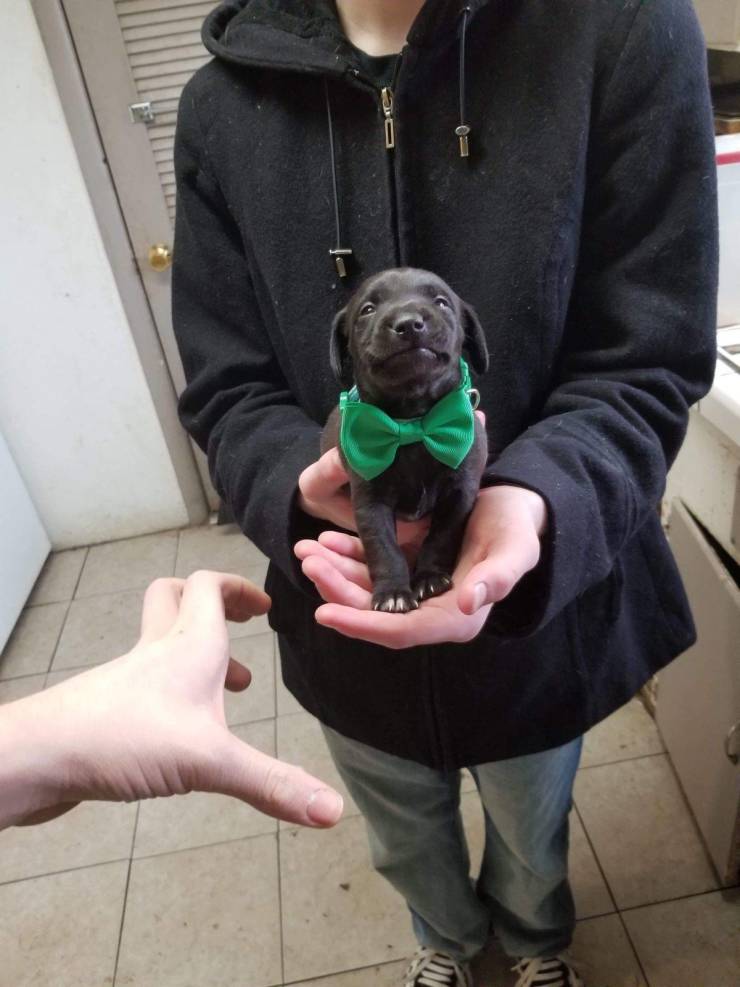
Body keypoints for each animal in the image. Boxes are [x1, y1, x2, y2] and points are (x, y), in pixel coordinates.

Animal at [320, 266, 488, 612]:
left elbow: (441, 537)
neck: (413, 425)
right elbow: (384, 548)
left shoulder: (460, 493)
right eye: (368, 309)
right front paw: (393, 592)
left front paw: (429, 578)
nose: (408, 323)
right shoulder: (370, 502)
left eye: (441, 302)